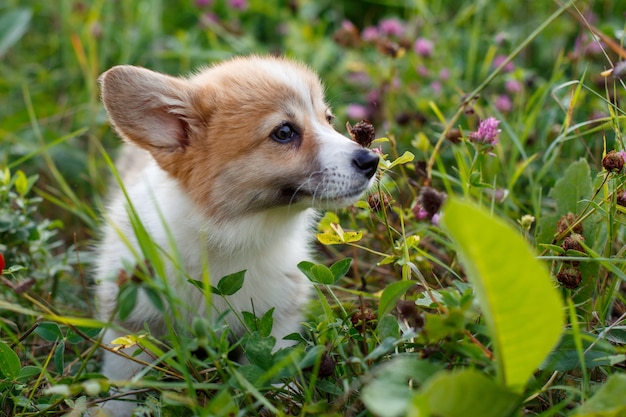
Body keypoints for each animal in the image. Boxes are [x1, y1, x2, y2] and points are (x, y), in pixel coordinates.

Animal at [95, 54, 378, 412]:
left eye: (328, 119)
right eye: (284, 132)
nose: (372, 160)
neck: (230, 236)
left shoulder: (278, 320)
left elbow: (275, 370)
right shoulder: (130, 318)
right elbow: (123, 376)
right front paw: (112, 408)